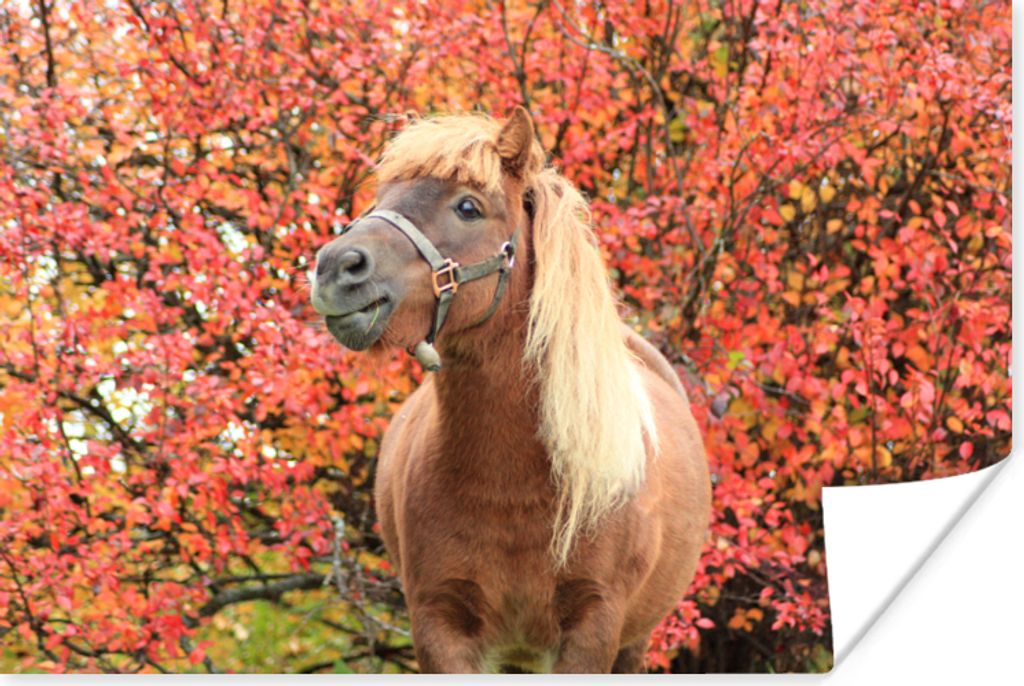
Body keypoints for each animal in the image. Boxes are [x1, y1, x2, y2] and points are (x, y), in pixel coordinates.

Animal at [310, 108, 710, 673]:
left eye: (468, 207)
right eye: (382, 195)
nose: (336, 267)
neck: (514, 483)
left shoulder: (593, 628)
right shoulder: (440, 626)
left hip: (634, 642)